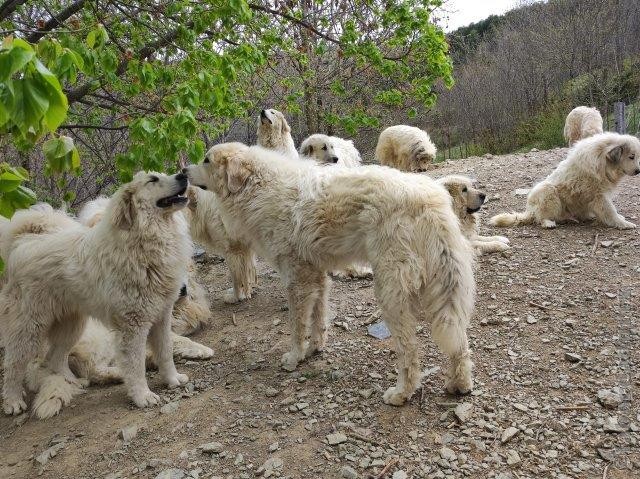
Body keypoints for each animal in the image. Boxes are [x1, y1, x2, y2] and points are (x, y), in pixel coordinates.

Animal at [0, 172, 190, 416]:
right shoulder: (133, 325)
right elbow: (136, 365)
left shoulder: (162, 316)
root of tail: (23, 242)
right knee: (14, 365)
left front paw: (173, 379)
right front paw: (142, 396)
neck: (146, 238)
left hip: (72, 324)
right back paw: (13, 402)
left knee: (56, 358)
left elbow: (166, 352)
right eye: (153, 180)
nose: (183, 174)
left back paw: (73, 381)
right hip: (29, 328)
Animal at [185, 144, 476, 406]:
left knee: (410, 352)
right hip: (445, 288)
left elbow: (297, 326)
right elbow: (318, 318)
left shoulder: (297, 280)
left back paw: (402, 393)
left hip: (392, 292)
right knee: (459, 342)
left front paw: (295, 357)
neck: (259, 187)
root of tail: (430, 199)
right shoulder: (316, 276)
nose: (183, 172)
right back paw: (459, 385)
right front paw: (315, 348)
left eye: (206, 160)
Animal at [492, 131, 636, 229]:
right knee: (541, 217)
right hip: (547, 191)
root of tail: (530, 211)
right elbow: (610, 211)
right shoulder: (599, 195)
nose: (638, 171)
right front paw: (624, 224)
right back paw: (548, 223)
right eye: (631, 157)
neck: (604, 162)